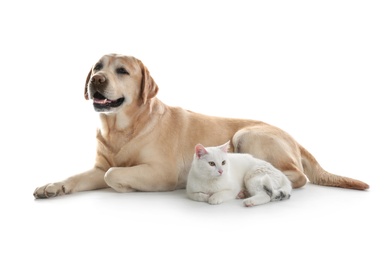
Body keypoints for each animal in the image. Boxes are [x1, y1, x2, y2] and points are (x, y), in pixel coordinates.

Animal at [33, 53, 370, 198]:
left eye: (122, 71)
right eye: (97, 67)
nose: (96, 80)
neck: (121, 128)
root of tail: (295, 137)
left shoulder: (161, 172)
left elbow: (114, 174)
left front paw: (126, 186)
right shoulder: (98, 166)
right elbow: (80, 176)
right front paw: (53, 185)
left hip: (246, 133)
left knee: (299, 176)